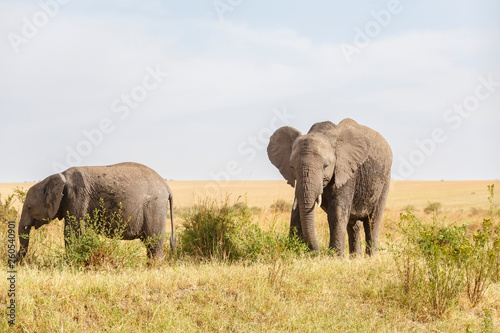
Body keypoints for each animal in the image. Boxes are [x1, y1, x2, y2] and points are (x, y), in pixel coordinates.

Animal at [16, 161, 177, 262]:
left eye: (29, 207)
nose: (17, 263)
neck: (58, 177)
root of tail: (167, 187)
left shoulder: (76, 196)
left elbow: (72, 232)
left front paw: (71, 263)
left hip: (155, 206)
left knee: (153, 241)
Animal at [268, 118, 392, 255]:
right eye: (291, 166)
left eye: (326, 166)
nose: (316, 252)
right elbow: (297, 210)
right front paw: (295, 252)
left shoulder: (346, 171)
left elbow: (337, 212)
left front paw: (334, 256)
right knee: (354, 224)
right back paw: (356, 257)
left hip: (385, 179)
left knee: (372, 221)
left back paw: (371, 257)